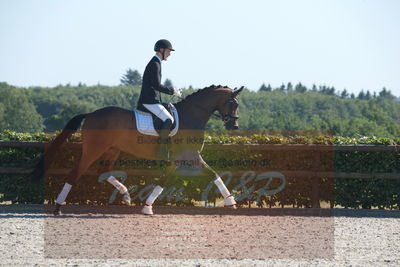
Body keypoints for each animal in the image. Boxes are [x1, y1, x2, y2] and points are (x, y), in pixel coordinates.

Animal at [28, 85, 244, 216]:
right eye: (233, 103)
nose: (234, 126)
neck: (191, 116)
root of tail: (91, 113)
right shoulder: (190, 156)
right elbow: (212, 173)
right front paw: (231, 201)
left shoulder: (180, 159)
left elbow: (167, 180)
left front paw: (146, 206)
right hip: (94, 150)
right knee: (76, 173)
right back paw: (58, 207)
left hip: (112, 150)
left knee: (103, 172)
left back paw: (125, 195)